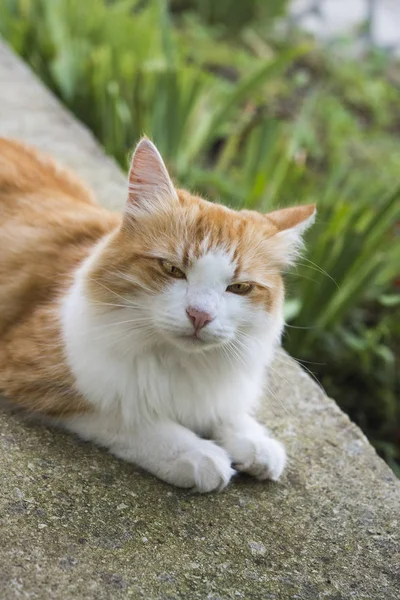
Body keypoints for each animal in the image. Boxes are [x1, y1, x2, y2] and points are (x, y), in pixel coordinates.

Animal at [0, 137, 316, 492]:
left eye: (239, 287)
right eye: (172, 269)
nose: (199, 315)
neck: (179, 363)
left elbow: (225, 413)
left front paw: (254, 440)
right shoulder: (33, 373)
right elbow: (132, 418)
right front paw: (195, 453)